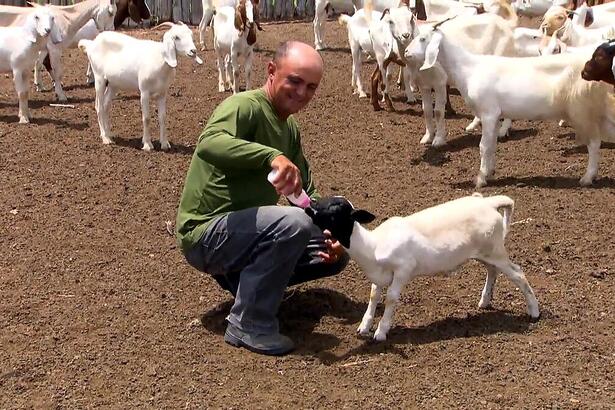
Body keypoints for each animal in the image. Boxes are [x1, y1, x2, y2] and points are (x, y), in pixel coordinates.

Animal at [78, 21, 205, 151]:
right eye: (176, 37)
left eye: (191, 34)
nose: (193, 51)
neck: (160, 60)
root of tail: (92, 43)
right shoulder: (144, 91)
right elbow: (147, 118)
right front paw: (148, 144)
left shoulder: (162, 93)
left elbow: (163, 117)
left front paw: (165, 144)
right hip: (99, 79)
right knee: (99, 107)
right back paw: (105, 138)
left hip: (114, 84)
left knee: (105, 106)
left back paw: (110, 134)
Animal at [306, 194, 540, 342]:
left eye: (335, 210)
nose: (308, 208)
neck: (373, 246)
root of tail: (490, 204)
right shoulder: (379, 276)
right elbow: (374, 295)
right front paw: (364, 326)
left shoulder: (403, 270)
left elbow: (391, 298)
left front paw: (381, 331)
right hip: (485, 253)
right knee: (493, 271)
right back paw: (485, 301)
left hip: (495, 251)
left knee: (519, 274)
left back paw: (534, 311)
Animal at [406, 22, 615, 187]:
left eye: (423, 39)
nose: (406, 52)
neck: (468, 68)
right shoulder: (495, 115)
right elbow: (492, 144)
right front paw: (489, 173)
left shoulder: (488, 113)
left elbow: (483, 146)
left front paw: (480, 179)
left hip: (582, 112)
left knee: (594, 144)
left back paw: (587, 178)